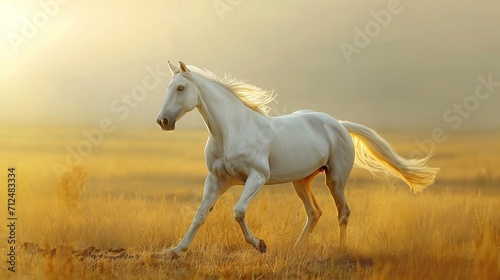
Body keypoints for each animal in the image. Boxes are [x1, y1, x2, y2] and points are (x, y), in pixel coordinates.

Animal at [156, 60, 438, 256]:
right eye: (168, 87)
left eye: (180, 87)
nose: (163, 121)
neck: (230, 131)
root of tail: (339, 124)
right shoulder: (216, 180)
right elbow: (200, 215)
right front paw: (175, 250)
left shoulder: (257, 177)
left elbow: (238, 211)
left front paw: (260, 245)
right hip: (301, 181)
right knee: (314, 212)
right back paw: (296, 247)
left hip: (335, 180)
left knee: (343, 212)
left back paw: (341, 249)